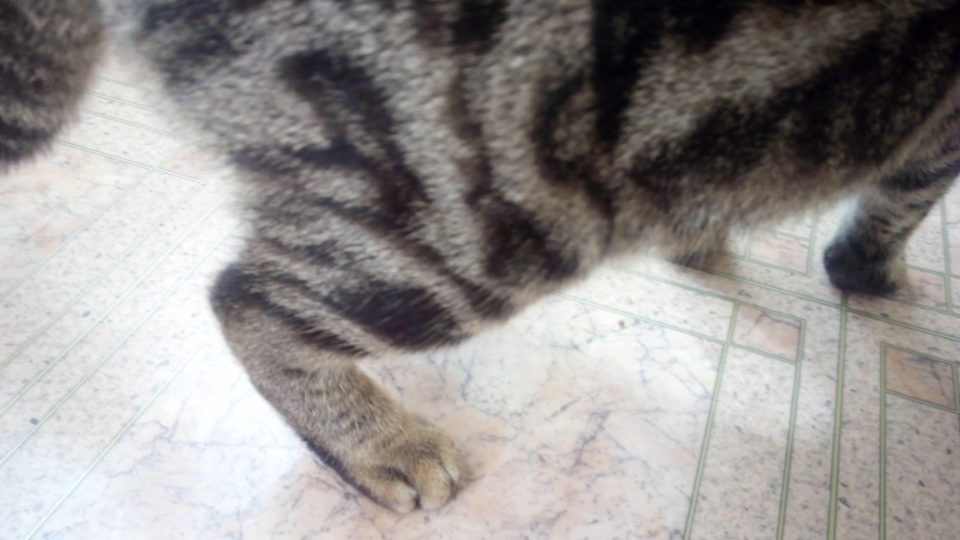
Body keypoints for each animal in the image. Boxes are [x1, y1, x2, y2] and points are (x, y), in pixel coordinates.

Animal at [3, 0, 959, 512]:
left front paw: (705, 243)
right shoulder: (938, 132)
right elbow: (899, 202)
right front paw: (871, 275)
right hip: (487, 220)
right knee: (249, 299)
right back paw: (377, 440)